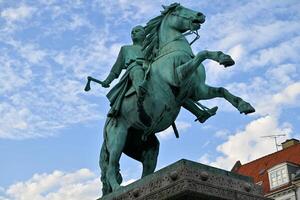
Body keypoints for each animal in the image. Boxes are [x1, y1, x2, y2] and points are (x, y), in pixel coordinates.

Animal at [99, 3, 254, 196]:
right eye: (177, 11)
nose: (200, 15)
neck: (172, 52)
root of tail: (106, 127)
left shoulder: (197, 91)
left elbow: (222, 90)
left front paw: (243, 103)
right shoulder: (179, 76)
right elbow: (201, 54)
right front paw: (222, 57)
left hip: (147, 147)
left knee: (146, 171)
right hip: (118, 138)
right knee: (111, 168)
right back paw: (119, 189)